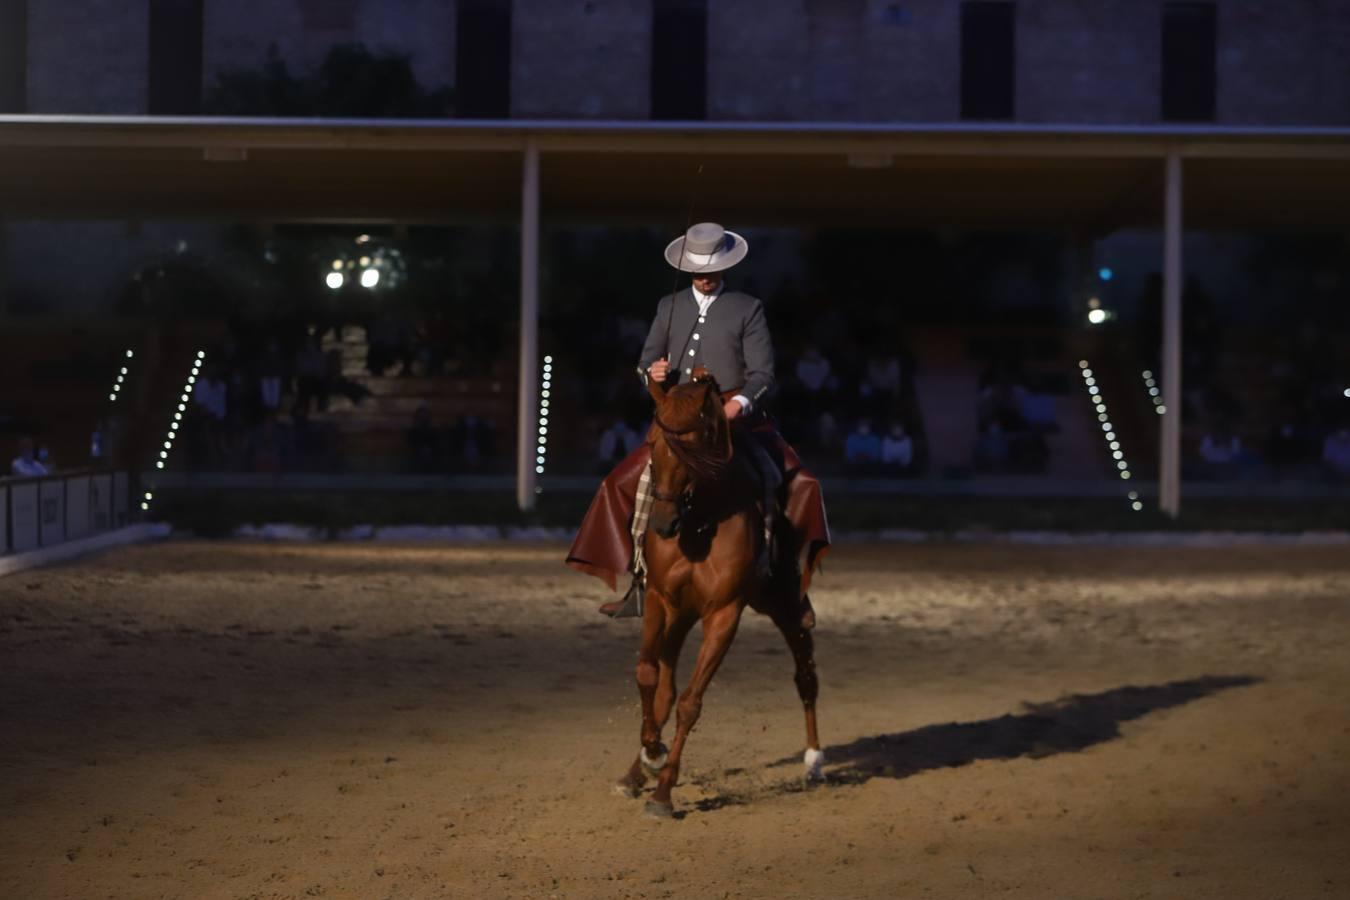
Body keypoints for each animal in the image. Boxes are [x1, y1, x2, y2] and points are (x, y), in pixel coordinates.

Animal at [615, 369, 820, 820]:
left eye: (692, 449)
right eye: (653, 443)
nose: (662, 524)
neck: (701, 521)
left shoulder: (725, 614)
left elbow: (691, 702)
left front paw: (663, 791)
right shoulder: (660, 599)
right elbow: (648, 675)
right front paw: (650, 754)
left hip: (784, 606)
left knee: (805, 676)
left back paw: (815, 761)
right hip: (681, 614)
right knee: (665, 687)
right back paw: (637, 769)